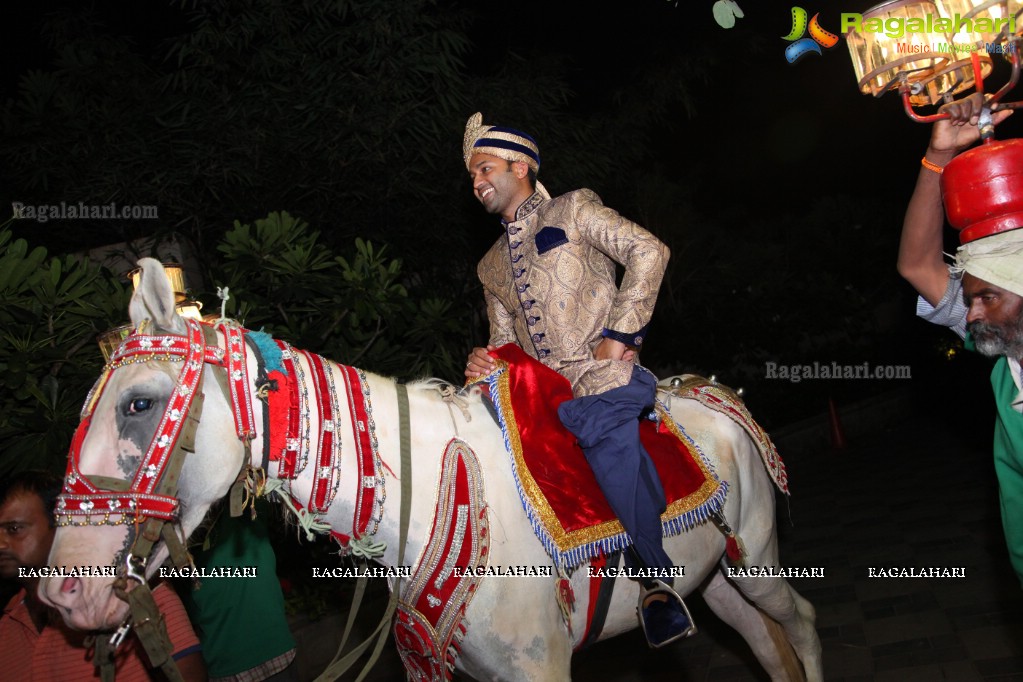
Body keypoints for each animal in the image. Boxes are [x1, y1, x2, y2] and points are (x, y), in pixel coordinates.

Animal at [39, 258, 822, 678]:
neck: (427, 512)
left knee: (802, 624)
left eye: (140, 404)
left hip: (755, 557)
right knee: (763, 641)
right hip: (711, 576)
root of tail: (710, 390)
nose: (63, 593)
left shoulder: (542, 668)